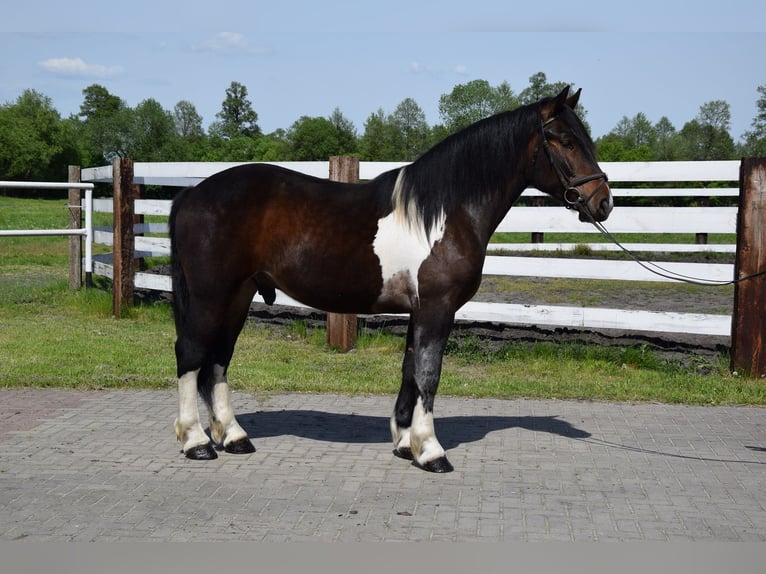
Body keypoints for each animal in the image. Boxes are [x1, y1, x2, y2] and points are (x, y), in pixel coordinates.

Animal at [171, 85, 616, 472]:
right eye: (565, 140)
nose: (603, 202)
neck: (445, 213)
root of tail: (192, 195)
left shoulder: (420, 311)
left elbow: (409, 371)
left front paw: (406, 443)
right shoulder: (437, 309)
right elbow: (429, 374)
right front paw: (432, 451)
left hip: (238, 295)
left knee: (218, 360)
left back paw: (233, 437)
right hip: (212, 296)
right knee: (191, 355)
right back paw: (196, 442)